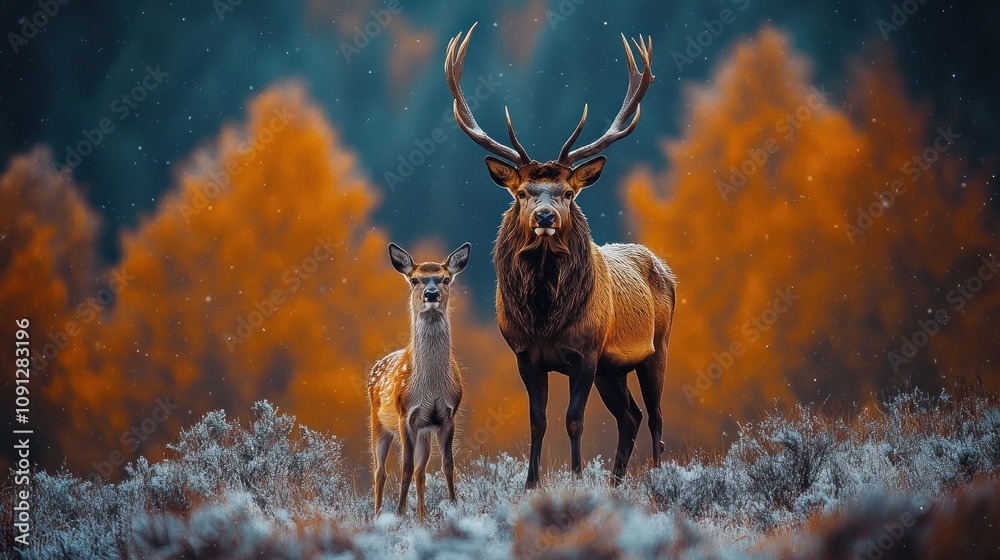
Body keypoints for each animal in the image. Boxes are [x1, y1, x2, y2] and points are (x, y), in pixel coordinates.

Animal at [370, 243, 470, 520]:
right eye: (415, 280)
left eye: (446, 279)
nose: (431, 293)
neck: (431, 388)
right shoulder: (406, 416)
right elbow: (405, 467)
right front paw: (399, 513)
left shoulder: (446, 416)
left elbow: (447, 465)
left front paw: (454, 507)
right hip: (378, 423)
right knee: (380, 471)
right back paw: (378, 515)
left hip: (425, 431)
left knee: (420, 471)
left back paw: (422, 517)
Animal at [448, 23, 676, 486]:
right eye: (521, 192)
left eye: (568, 192)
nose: (546, 215)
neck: (544, 318)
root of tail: (667, 271)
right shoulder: (525, 356)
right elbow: (538, 422)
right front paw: (532, 483)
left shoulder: (585, 354)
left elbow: (574, 420)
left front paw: (575, 478)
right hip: (613, 369)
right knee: (630, 417)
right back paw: (615, 481)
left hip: (655, 348)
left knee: (656, 416)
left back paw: (657, 477)